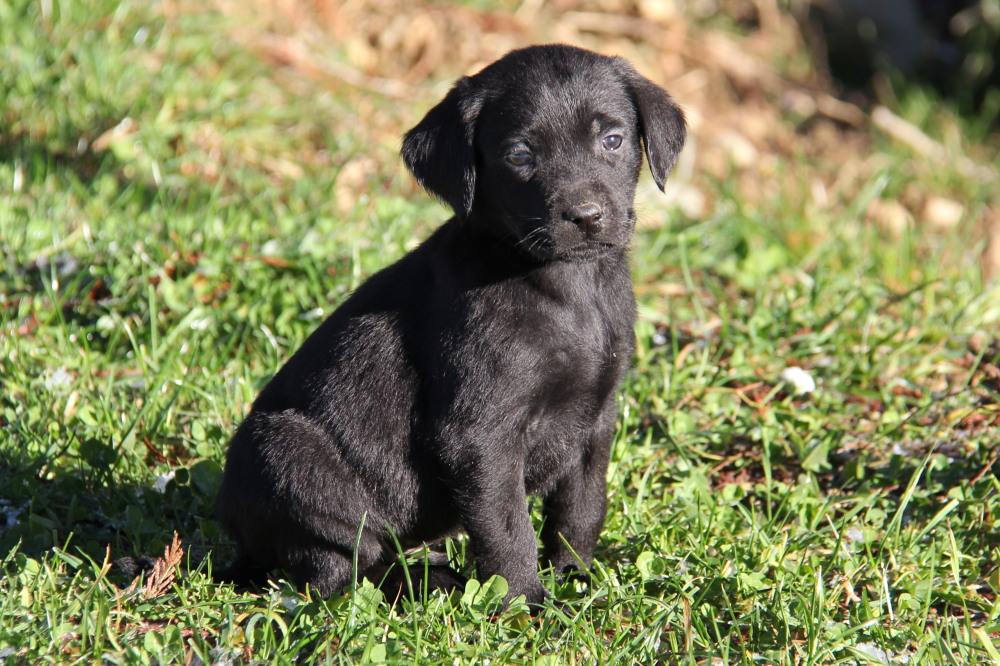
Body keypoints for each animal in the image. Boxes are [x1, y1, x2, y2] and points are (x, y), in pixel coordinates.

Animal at [216, 41, 688, 600]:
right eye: (520, 155)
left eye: (612, 140)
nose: (587, 216)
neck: (569, 287)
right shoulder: (480, 434)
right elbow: (509, 527)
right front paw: (523, 602)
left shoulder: (596, 417)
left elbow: (581, 509)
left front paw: (576, 578)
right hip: (287, 453)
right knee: (339, 567)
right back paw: (425, 583)